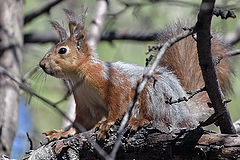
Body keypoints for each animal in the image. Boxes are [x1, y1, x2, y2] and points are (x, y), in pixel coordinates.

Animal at [39, 9, 232, 139]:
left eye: (62, 50)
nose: (41, 65)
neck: (80, 76)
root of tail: (185, 111)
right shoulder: (85, 103)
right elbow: (83, 122)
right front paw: (63, 133)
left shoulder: (111, 81)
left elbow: (119, 102)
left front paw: (107, 123)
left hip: (153, 93)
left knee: (161, 119)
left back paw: (139, 121)